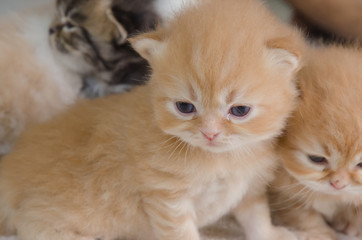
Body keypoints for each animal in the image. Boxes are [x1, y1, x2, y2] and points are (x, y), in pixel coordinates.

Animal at [0, 0, 304, 240]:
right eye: (185, 107)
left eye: (239, 111)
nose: (210, 134)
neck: (222, 160)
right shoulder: (168, 199)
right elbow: (183, 233)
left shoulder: (248, 188)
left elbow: (257, 217)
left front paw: (272, 234)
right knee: (32, 224)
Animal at [268, 45, 362, 240]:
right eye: (317, 159)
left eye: (361, 164)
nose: (338, 184)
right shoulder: (279, 192)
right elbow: (302, 215)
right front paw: (319, 233)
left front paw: (351, 222)